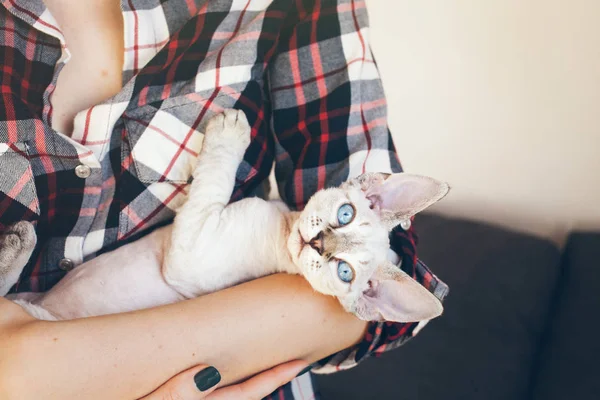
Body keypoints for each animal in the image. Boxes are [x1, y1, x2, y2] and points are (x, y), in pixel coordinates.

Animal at [0, 109, 448, 324]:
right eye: (345, 213)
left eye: (344, 273)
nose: (318, 243)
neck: (284, 227)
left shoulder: (190, 249)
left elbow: (213, 176)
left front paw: (230, 131)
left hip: (30, 310)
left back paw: (16, 244)